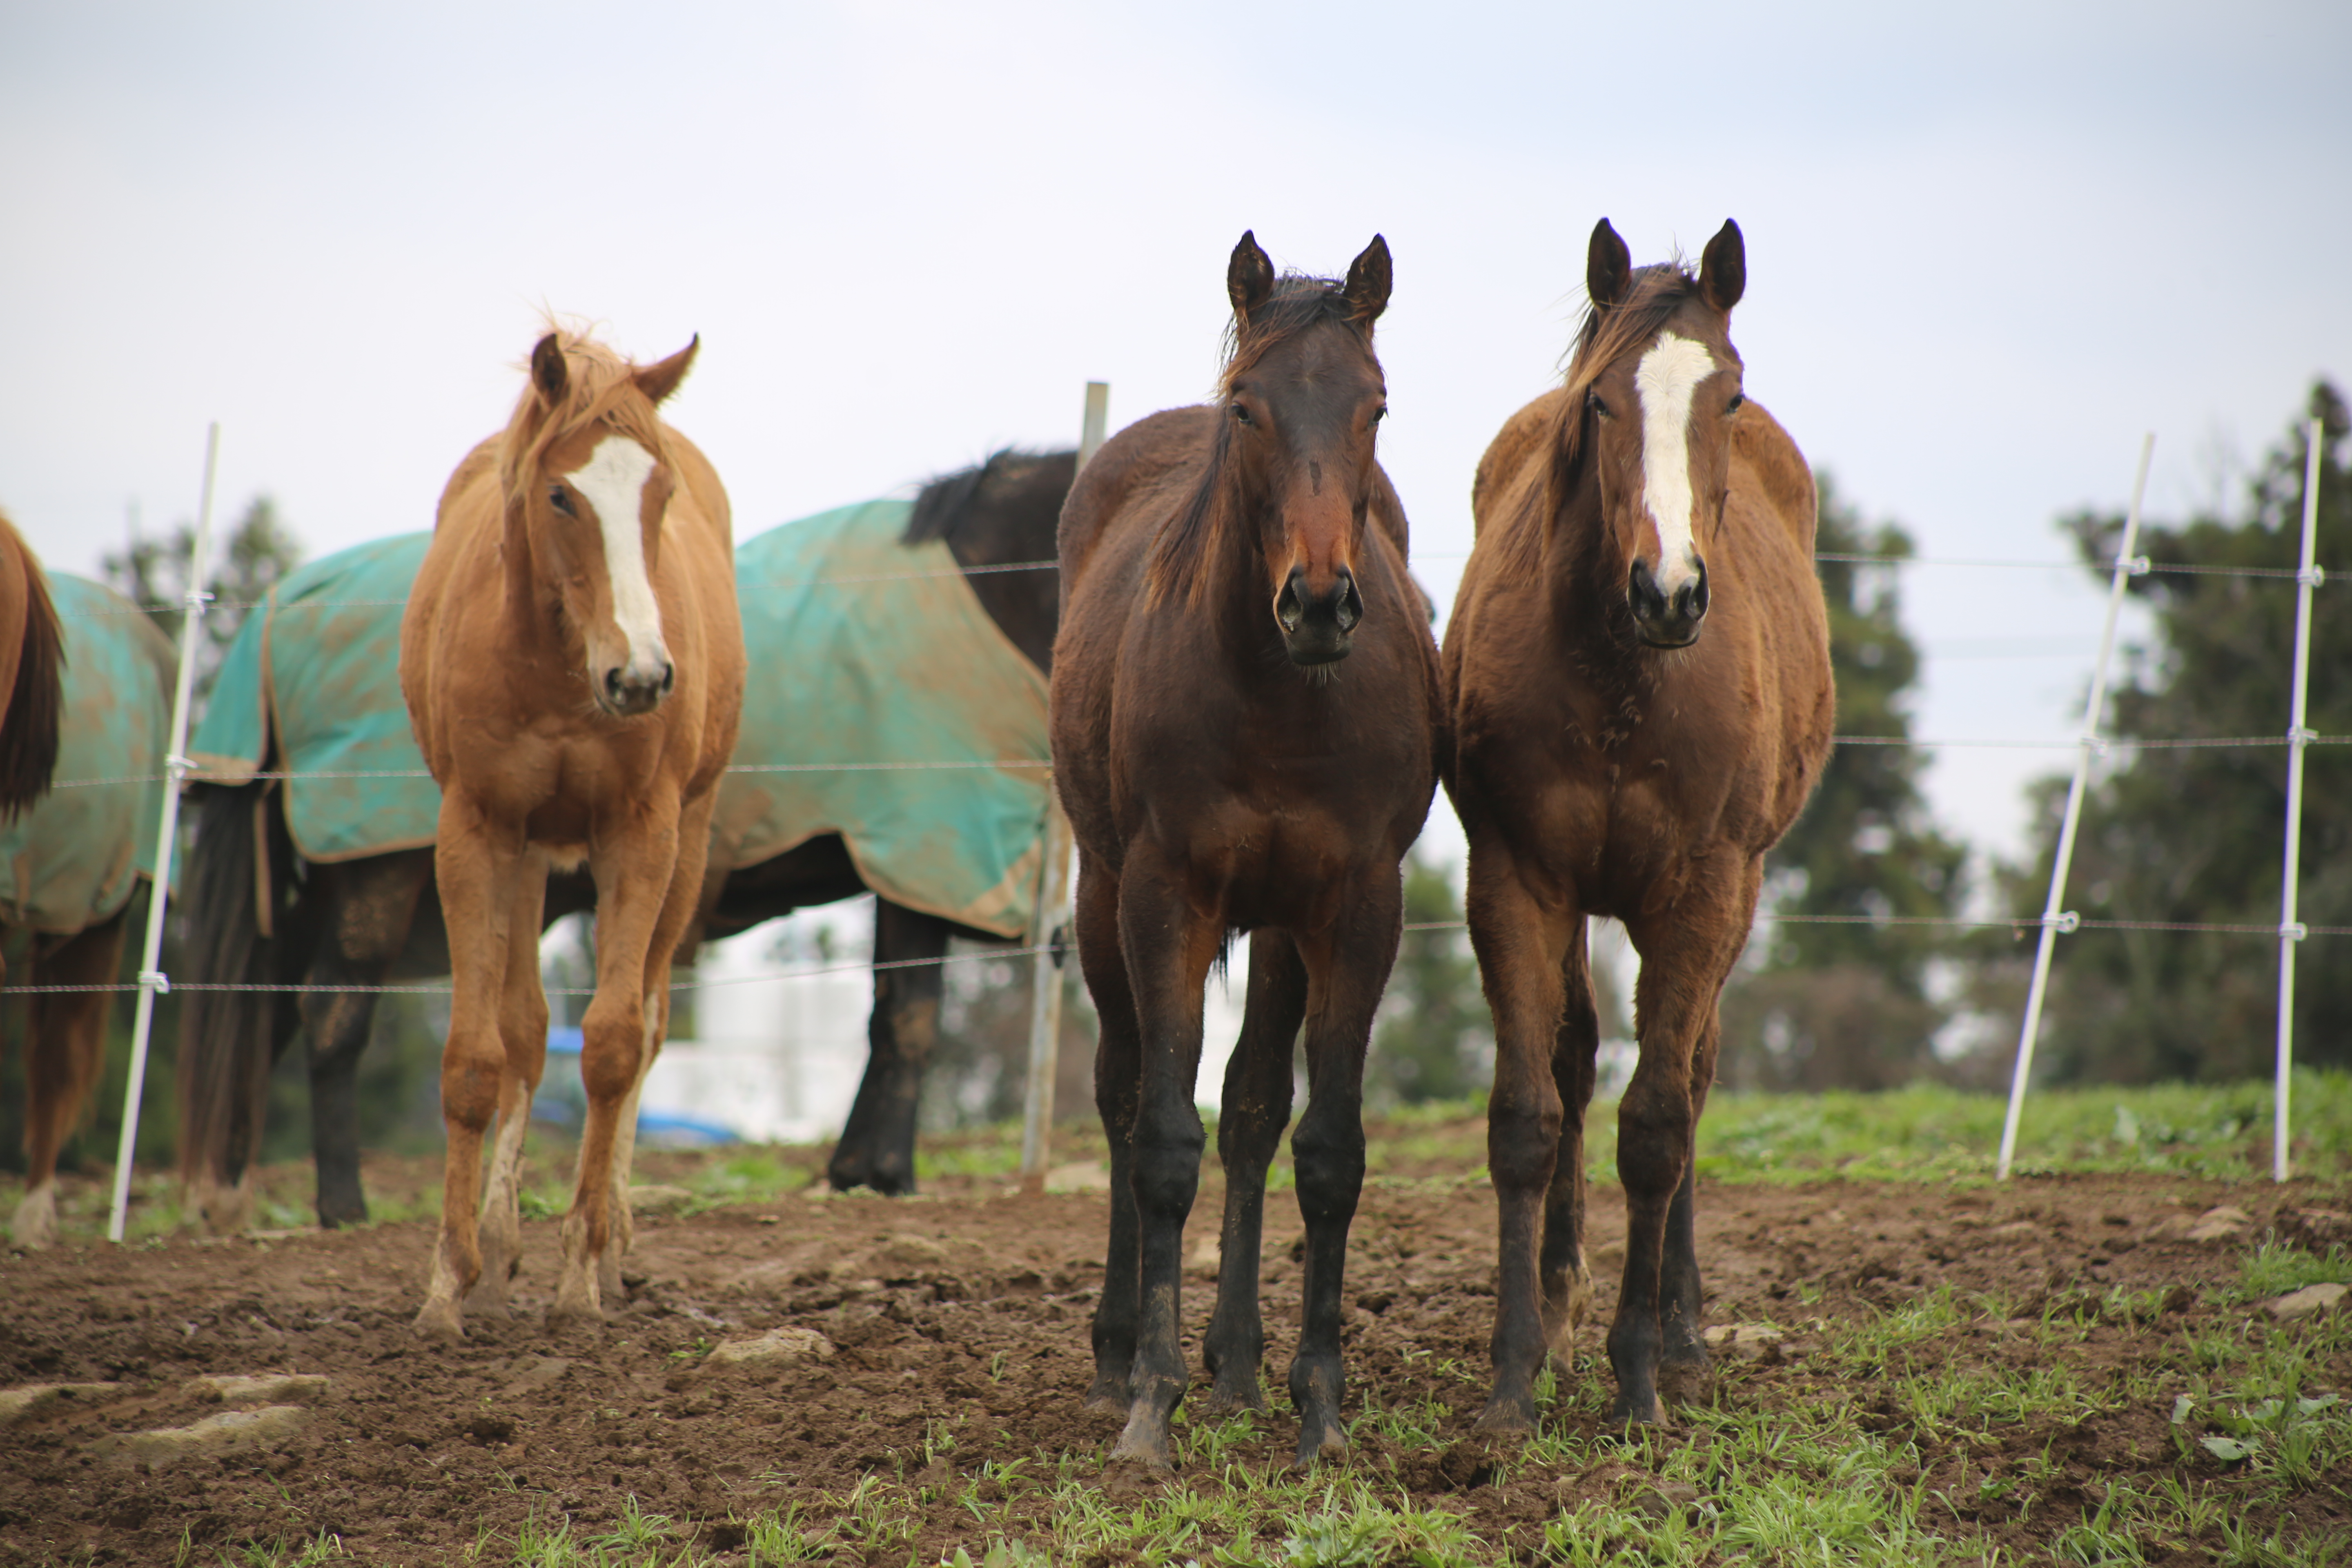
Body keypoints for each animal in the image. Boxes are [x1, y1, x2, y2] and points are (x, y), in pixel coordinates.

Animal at [172, 446, 1068, 1232]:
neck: (990, 591)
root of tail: (286, 608)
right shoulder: (922, 847)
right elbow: (908, 1022)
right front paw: (881, 1172)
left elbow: (897, 1019)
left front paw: (860, 1169)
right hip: (378, 868)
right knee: (333, 1011)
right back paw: (342, 1205)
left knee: (268, 1007)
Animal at [395, 329, 743, 1335]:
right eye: (561, 494)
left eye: (659, 492)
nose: (643, 676)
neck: (556, 668)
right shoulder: (478, 831)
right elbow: (480, 1058)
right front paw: (451, 1280)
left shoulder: (644, 832)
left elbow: (616, 1043)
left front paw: (583, 1271)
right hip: (527, 857)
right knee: (523, 1029)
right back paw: (501, 1242)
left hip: (688, 842)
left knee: (651, 1026)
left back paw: (613, 1243)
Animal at [1058, 232, 1439, 1476]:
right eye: (1249, 408)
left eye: (1374, 406)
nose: (1318, 602)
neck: (1279, 697)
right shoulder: (1162, 894)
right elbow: (1163, 1139)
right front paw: (1149, 1404)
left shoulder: (1357, 908)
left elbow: (1321, 1148)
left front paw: (1317, 1405)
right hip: (1100, 896)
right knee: (1123, 1093)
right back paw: (1120, 1356)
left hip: (1278, 928)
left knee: (1253, 1107)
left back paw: (1236, 1364)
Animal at [1430, 221, 1834, 1439]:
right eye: (1600, 402)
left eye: (1727, 397)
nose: (1669, 591)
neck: (1624, 677)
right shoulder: (1517, 879)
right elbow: (1527, 1115)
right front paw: (1516, 1376)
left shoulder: (1702, 893)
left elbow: (1656, 1125)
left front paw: (1642, 1377)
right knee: (1573, 1064)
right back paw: (1566, 1315)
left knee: (1690, 1080)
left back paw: (1685, 1336)